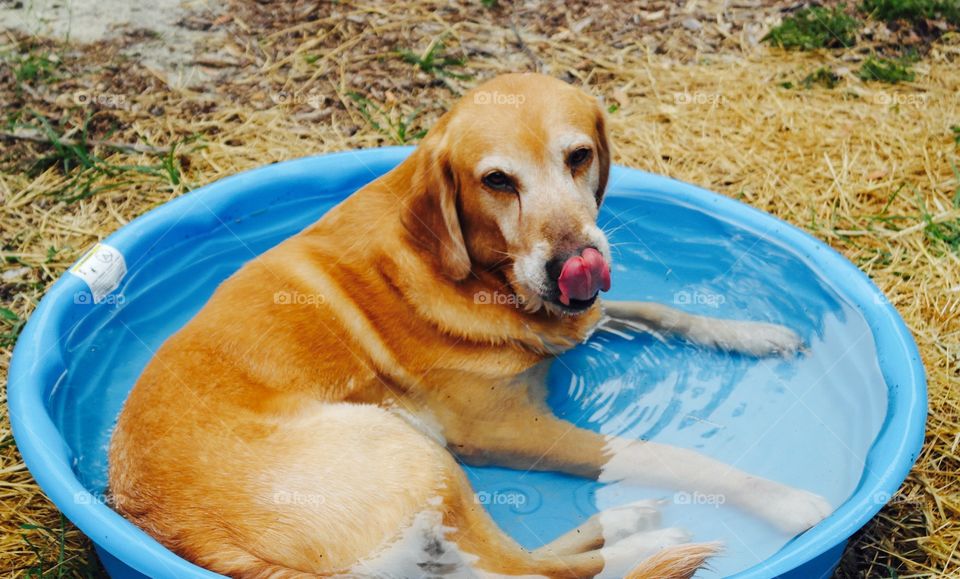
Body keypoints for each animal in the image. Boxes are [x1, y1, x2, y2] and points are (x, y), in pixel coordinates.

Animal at [107, 75, 832, 576]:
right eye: (497, 180)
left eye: (578, 156)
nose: (573, 263)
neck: (474, 271)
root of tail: (195, 539)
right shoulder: (506, 432)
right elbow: (674, 455)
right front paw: (781, 499)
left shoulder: (576, 319)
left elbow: (656, 308)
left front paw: (752, 333)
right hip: (417, 456)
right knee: (524, 572)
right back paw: (646, 540)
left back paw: (630, 519)